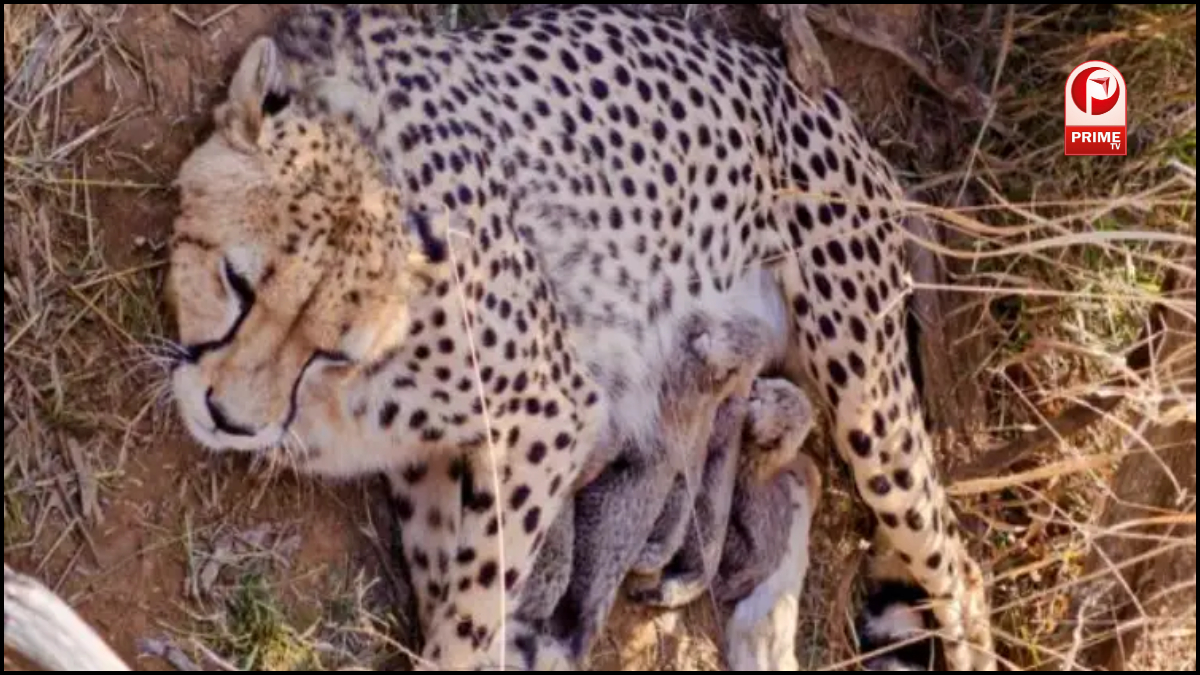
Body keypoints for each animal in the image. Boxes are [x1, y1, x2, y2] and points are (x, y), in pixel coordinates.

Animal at [165, 3, 995, 670]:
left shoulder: (552, 412)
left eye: (330, 347)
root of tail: (823, 100)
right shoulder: (433, 462)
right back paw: (760, 632)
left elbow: (474, 609)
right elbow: (451, 585)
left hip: (868, 396)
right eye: (236, 283)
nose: (228, 418)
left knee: (960, 568)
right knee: (802, 474)